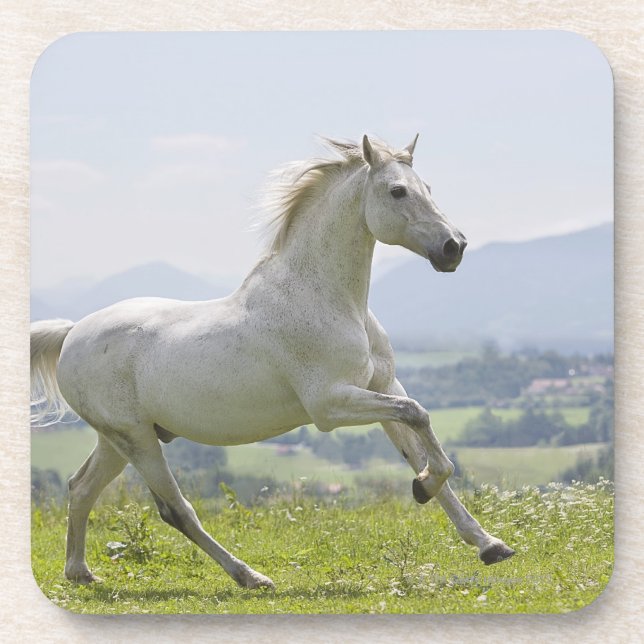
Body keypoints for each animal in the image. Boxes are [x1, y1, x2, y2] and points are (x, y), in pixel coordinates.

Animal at [31, 135, 515, 590]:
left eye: (427, 187)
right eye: (397, 191)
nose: (454, 247)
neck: (327, 298)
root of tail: (72, 333)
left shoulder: (383, 388)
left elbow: (421, 445)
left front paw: (487, 543)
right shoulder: (330, 405)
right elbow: (420, 419)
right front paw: (425, 489)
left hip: (119, 439)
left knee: (80, 488)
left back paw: (80, 572)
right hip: (135, 439)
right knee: (175, 509)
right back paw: (250, 577)